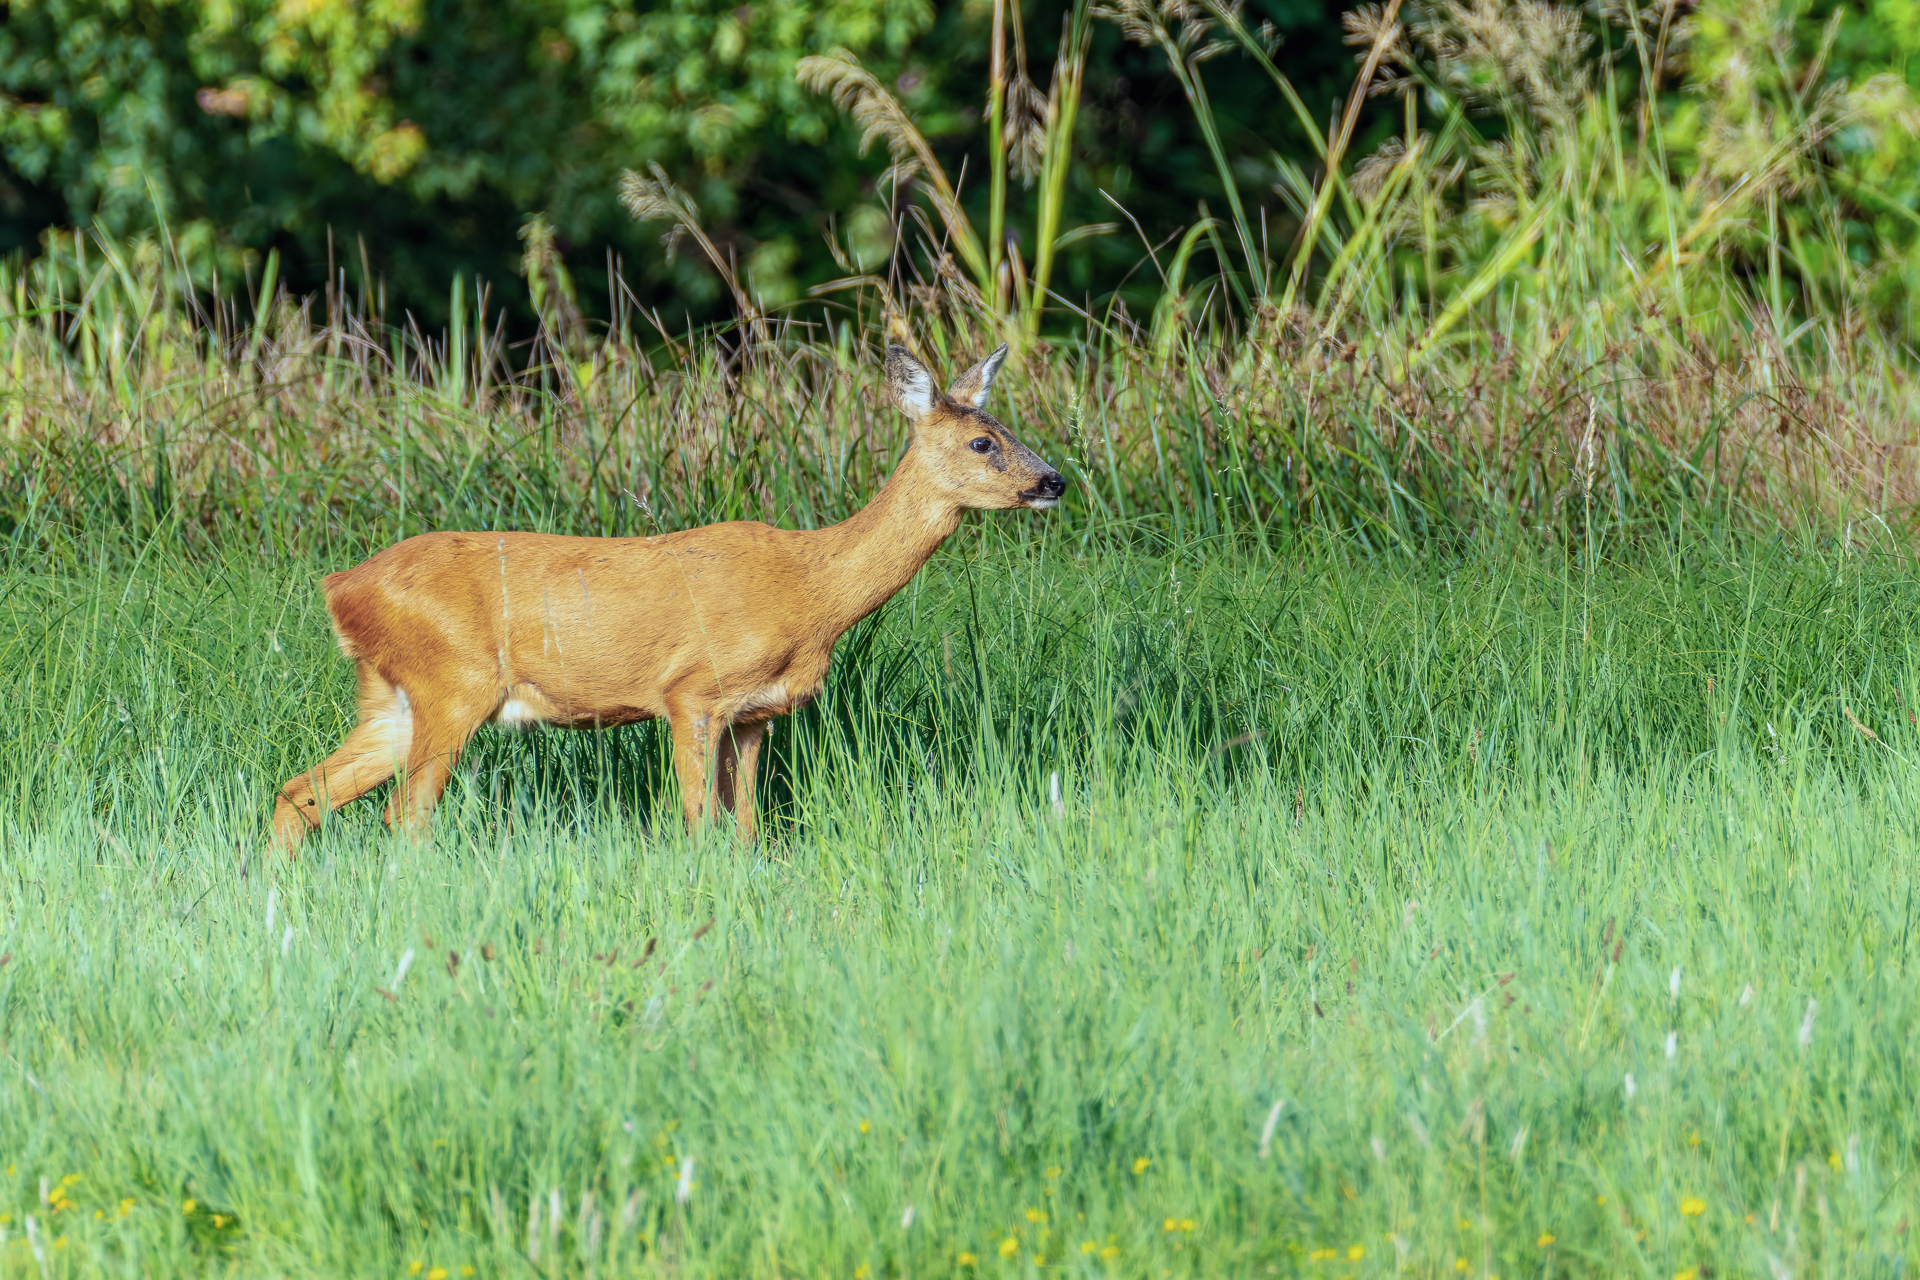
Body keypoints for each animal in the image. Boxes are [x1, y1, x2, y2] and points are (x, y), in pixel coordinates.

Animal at [271, 343, 1064, 852]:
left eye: (1008, 430)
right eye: (983, 443)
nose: (1054, 480)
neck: (814, 590)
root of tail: (340, 587)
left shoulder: (755, 715)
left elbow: (745, 831)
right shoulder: (693, 691)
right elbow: (697, 825)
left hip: (393, 696)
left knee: (299, 793)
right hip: (454, 680)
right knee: (404, 817)